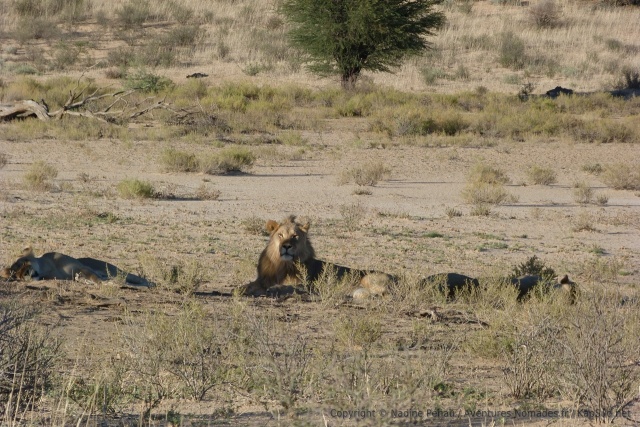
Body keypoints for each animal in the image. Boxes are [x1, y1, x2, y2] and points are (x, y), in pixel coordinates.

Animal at [1, 246, 154, 287]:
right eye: (17, 274)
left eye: (25, 262)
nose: (27, 273)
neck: (47, 268)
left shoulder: (82, 268)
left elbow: (96, 278)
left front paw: (105, 284)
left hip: (114, 270)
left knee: (138, 279)